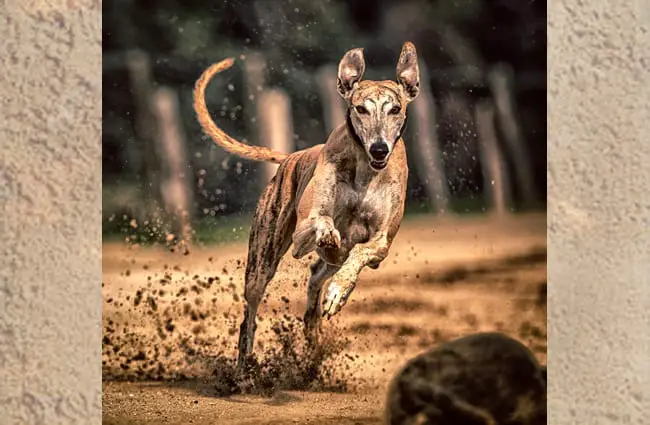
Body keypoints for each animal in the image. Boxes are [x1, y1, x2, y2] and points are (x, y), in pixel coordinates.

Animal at [191, 41, 420, 370]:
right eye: (360, 109)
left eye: (396, 109)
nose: (379, 149)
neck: (365, 168)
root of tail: (289, 157)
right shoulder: (304, 232)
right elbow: (321, 223)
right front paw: (328, 234)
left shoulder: (380, 243)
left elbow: (360, 253)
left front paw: (339, 290)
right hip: (261, 262)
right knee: (250, 314)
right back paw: (245, 365)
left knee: (318, 276)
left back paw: (316, 326)